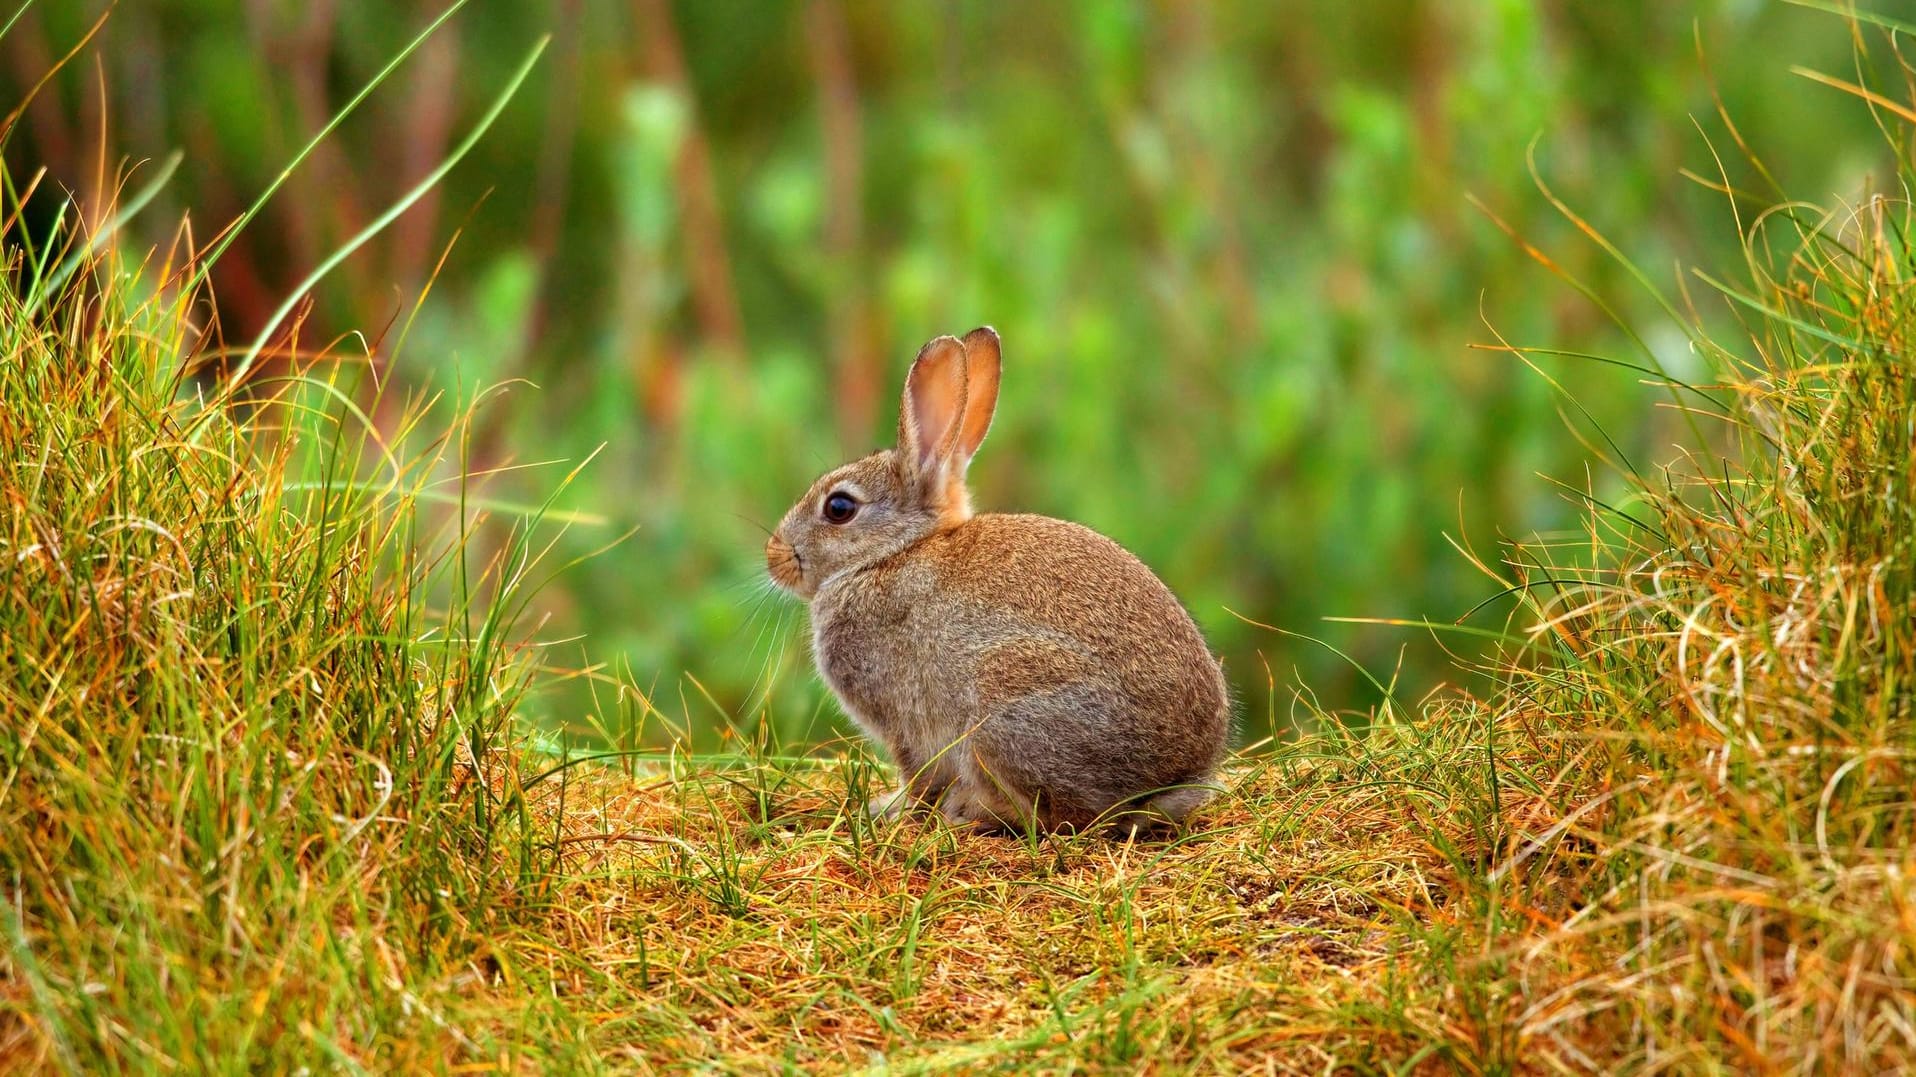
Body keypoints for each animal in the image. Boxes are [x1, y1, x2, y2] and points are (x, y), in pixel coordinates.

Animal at [762, 325, 1226, 831]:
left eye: (839, 507)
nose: (774, 556)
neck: (892, 554)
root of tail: (1170, 781)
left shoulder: (905, 722)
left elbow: (918, 775)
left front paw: (890, 809)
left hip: (1003, 708)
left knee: (1067, 817)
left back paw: (971, 811)